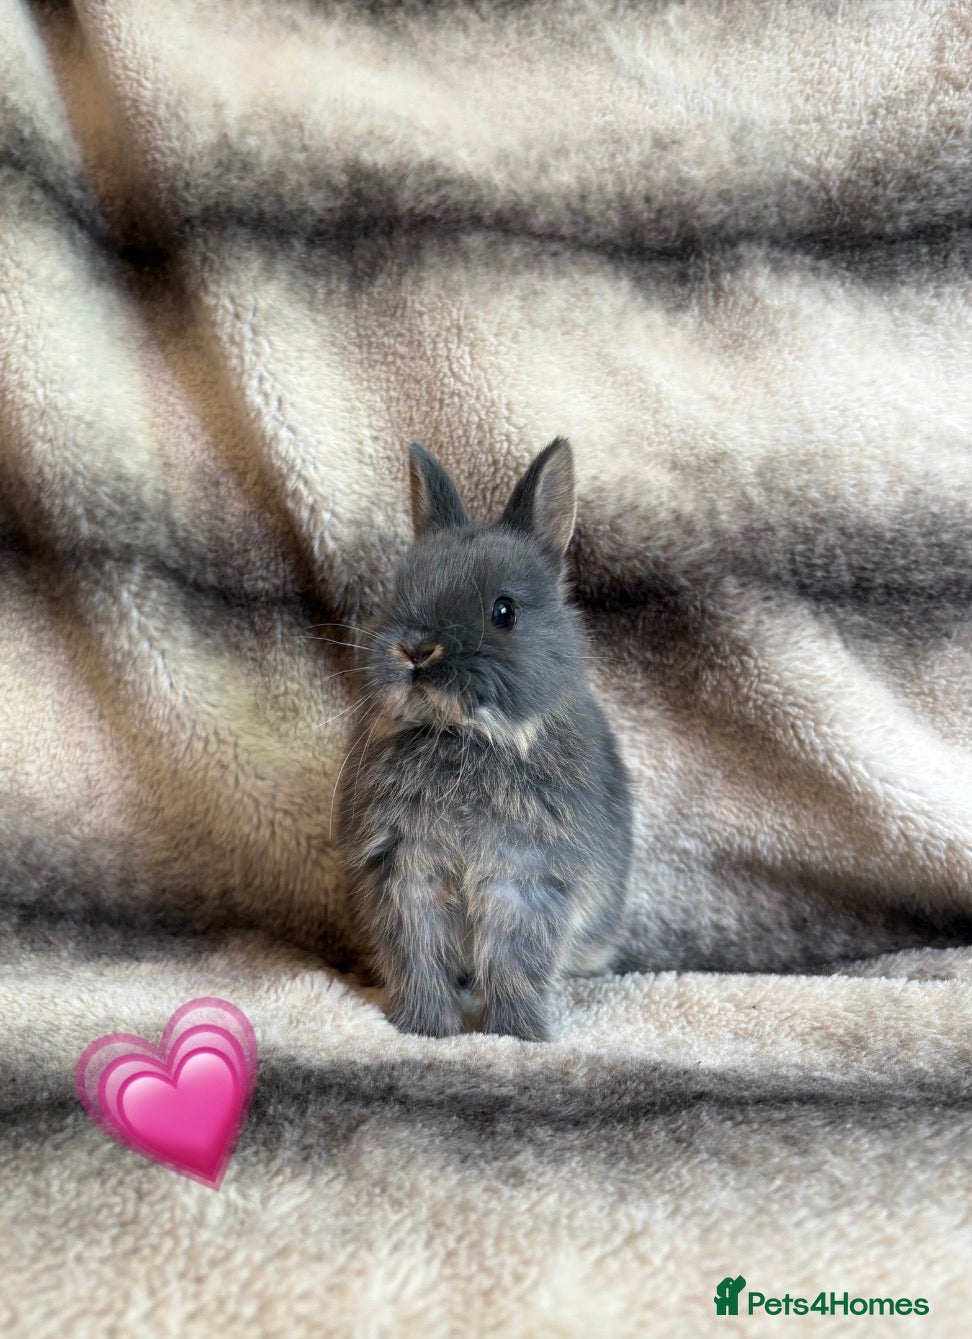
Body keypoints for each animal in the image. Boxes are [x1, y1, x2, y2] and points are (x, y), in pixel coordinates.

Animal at [337, 437, 632, 1041]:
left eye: (504, 611)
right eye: (396, 594)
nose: (415, 650)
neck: (461, 735)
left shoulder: (522, 878)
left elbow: (515, 962)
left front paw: (516, 1034)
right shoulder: (407, 874)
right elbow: (417, 955)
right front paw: (426, 1028)